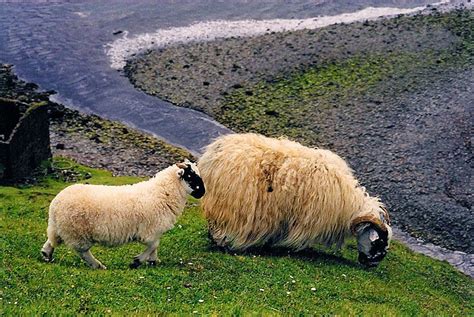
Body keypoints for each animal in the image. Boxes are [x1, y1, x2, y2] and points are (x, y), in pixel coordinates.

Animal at [40, 160, 204, 270]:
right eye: (191, 176)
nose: (203, 193)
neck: (163, 193)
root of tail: (55, 204)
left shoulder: (154, 230)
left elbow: (155, 246)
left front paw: (153, 261)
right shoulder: (148, 231)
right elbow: (154, 245)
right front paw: (137, 261)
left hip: (60, 228)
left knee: (51, 241)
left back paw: (46, 255)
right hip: (78, 232)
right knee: (83, 252)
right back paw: (98, 265)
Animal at [198, 132, 390, 266]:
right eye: (379, 241)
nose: (372, 264)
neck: (349, 204)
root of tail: (212, 154)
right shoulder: (308, 219)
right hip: (230, 205)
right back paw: (223, 244)